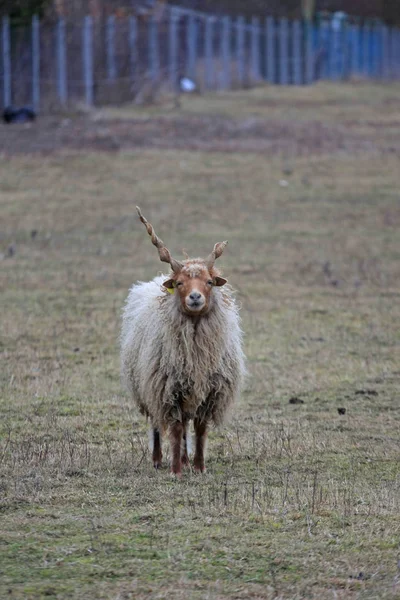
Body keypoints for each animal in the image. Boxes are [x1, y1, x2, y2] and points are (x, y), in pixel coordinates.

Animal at [119, 209, 244, 476]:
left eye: (209, 282)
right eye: (179, 283)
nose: (195, 297)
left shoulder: (209, 391)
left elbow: (199, 429)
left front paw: (198, 467)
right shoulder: (167, 388)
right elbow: (175, 429)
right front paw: (175, 471)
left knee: (187, 423)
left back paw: (186, 461)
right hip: (148, 386)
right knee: (157, 424)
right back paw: (158, 460)